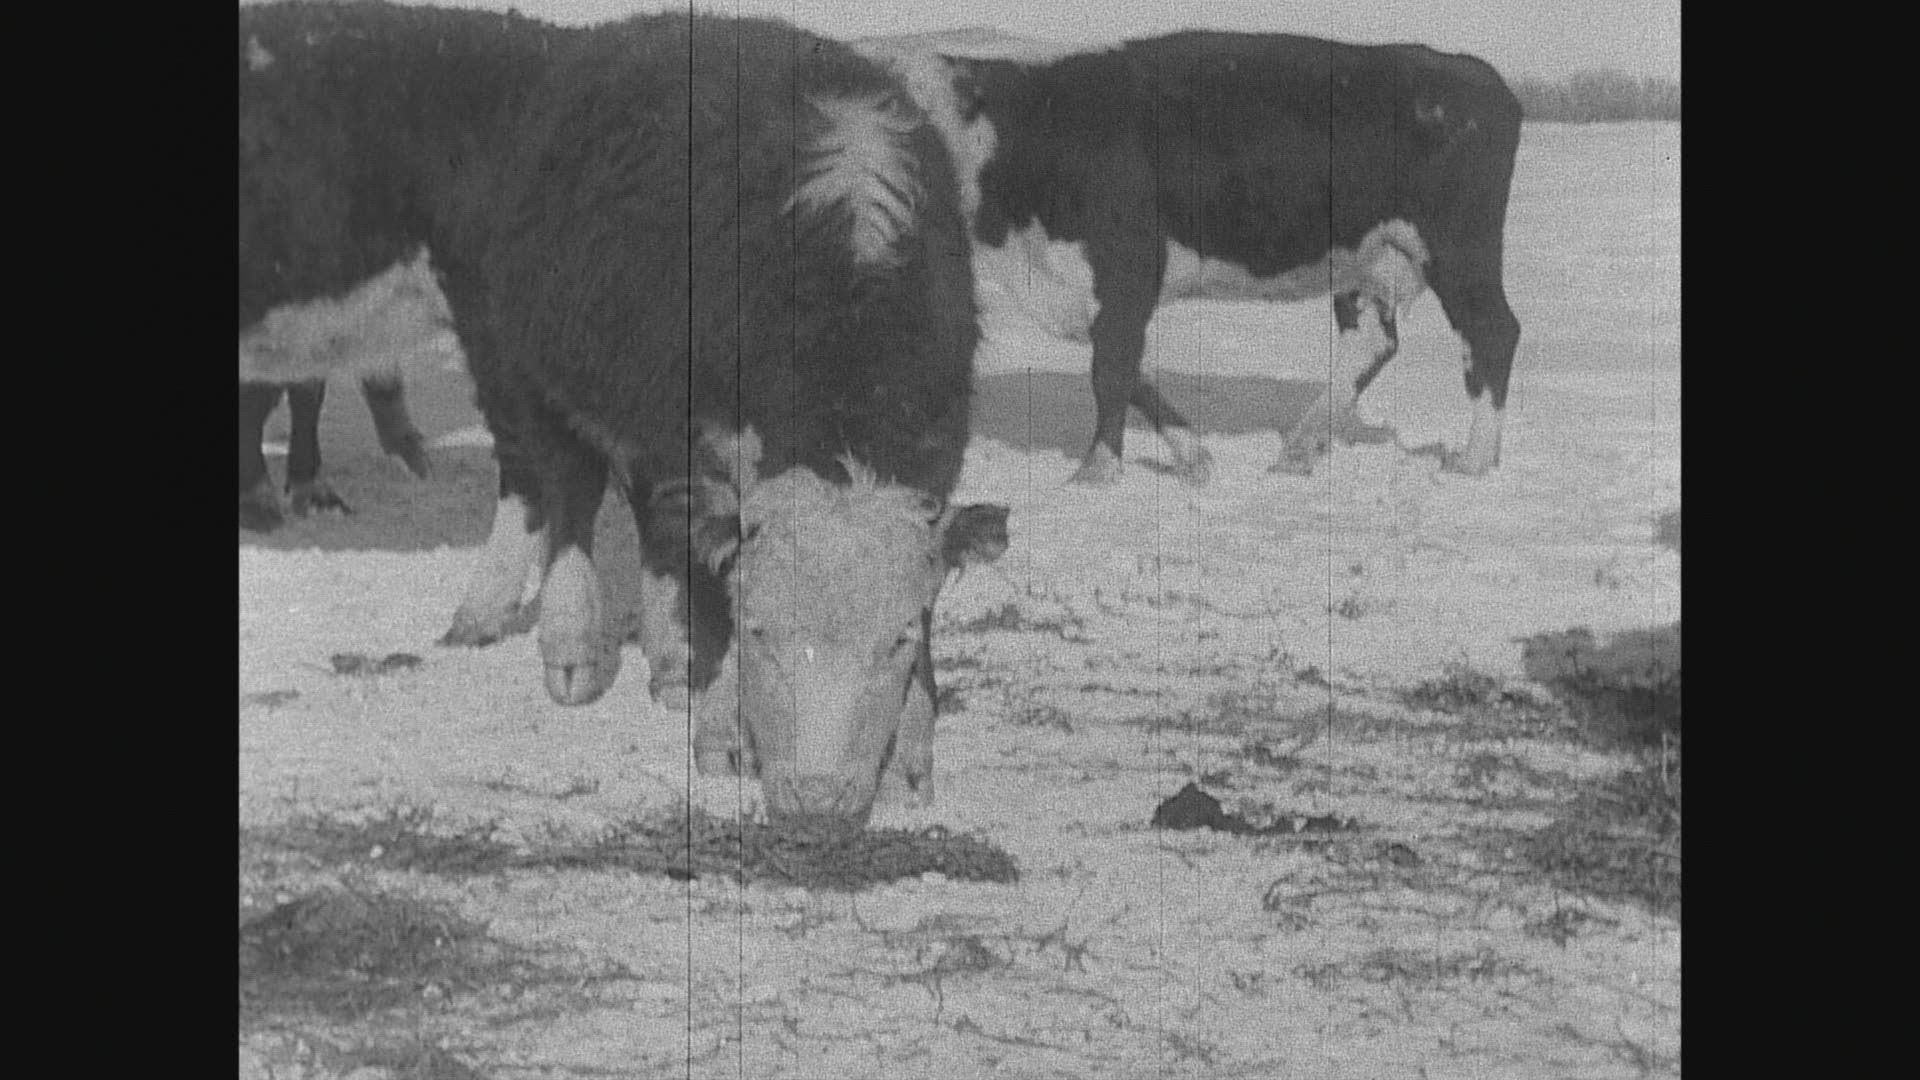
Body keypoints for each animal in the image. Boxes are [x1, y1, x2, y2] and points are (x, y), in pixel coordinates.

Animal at [860, 31, 1524, 482]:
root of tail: (1475, 76)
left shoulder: (1126, 269)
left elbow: (1110, 371)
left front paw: (1096, 472)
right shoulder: (1087, 294)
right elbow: (1128, 370)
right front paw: (1193, 456)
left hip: (1459, 250)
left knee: (1494, 332)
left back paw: (1472, 460)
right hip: (1368, 262)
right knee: (1374, 344)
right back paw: (1299, 450)